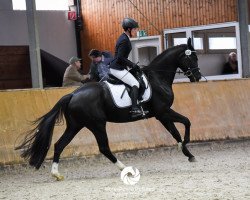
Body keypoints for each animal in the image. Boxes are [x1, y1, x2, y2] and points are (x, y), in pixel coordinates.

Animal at [15, 37, 202, 180]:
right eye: (191, 58)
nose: (198, 76)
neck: (158, 78)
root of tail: (73, 94)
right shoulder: (163, 112)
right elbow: (186, 123)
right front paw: (186, 145)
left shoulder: (161, 115)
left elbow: (176, 131)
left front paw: (188, 154)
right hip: (97, 124)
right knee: (103, 148)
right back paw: (125, 169)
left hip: (76, 125)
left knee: (59, 144)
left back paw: (56, 174)